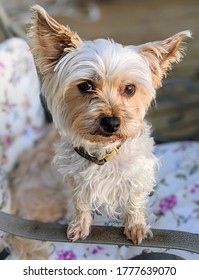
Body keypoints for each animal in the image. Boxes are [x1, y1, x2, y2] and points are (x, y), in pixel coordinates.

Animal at [27, 4, 190, 245]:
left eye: (130, 89)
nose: (112, 122)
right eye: (86, 85)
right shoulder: (75, 179)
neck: (102, 153)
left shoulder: (138, 175)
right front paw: (79, 225)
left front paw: (136, 227)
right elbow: (80, 203)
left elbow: (134, 202)